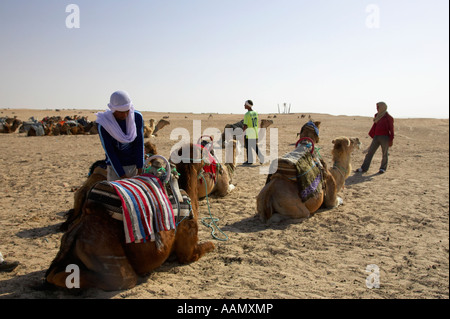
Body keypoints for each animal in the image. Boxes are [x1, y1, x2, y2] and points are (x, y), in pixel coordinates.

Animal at [45, 142, 214, 292]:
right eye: (201, 150)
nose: (211, 156)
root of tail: (77, 234)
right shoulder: (188, 249)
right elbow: (206, 247)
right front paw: (212, 245)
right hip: (113, 264)